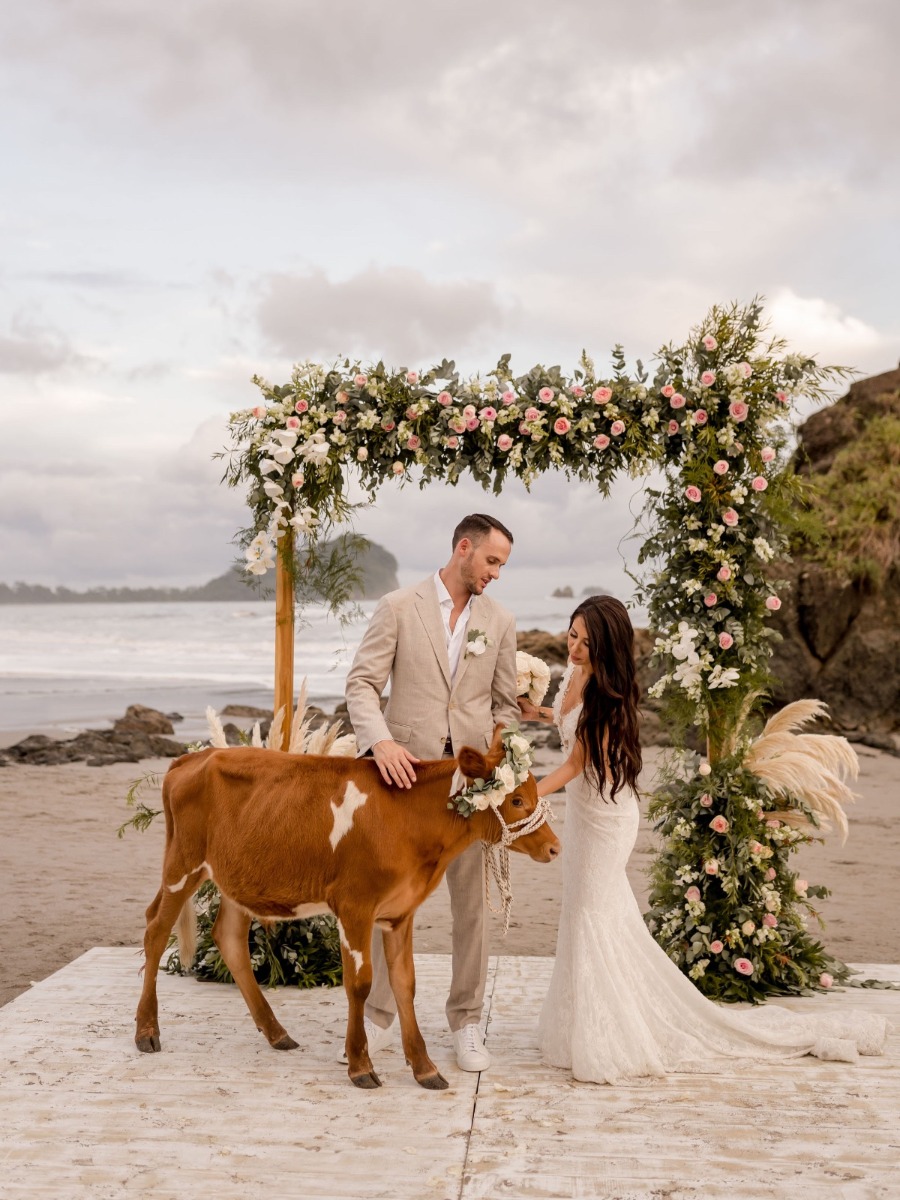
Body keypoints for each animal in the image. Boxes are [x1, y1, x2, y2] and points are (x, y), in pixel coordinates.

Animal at [135, 724, 561, 1094]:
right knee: (155, 928)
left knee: (229, 938)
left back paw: (277, 1033)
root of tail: (192, 757)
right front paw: (361, 1065)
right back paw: (147, 1031)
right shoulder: (355, 906)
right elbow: (360, 984)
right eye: (516, 799)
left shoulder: (400, 912)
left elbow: (405, 984)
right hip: (183, 864)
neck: (410, 819)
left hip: (236, 874)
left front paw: (425, 1068)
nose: (554, 847)